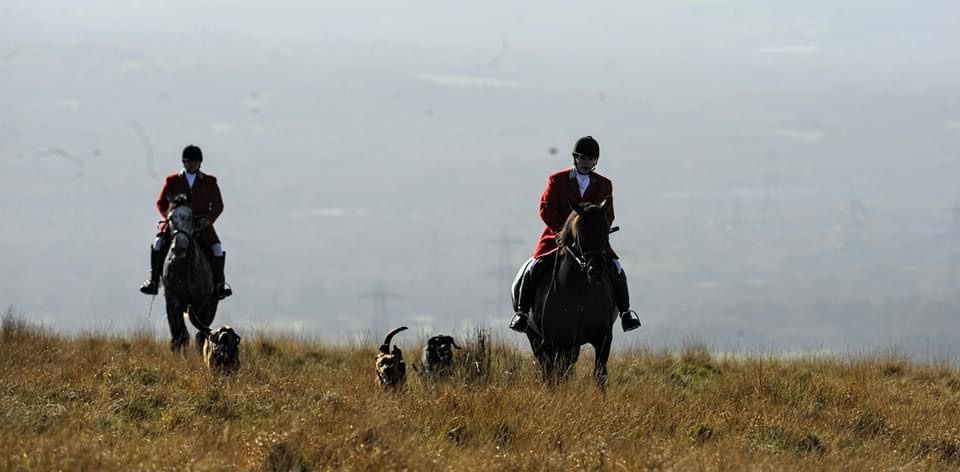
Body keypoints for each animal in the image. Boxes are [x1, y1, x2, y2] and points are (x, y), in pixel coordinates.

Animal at [163, 194, 219, 352]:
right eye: (171, 218)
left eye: (190, 218)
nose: (179, 248)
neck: (185, 267)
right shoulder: (173, 301)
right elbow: (180, 335)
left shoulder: (201, 303)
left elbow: (200, 334)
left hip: (211, 305)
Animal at [528, 199, 620, 388]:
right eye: (581, 233)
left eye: (606, 231)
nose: (596, 270)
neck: (578, 294)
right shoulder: (553, 340)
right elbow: (554, 375)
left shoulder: (603, 338)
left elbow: (600, 374)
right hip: (536, 339)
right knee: (549, 370)